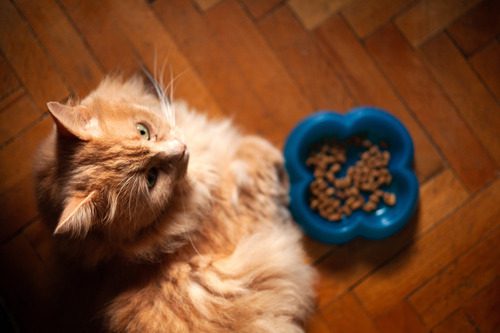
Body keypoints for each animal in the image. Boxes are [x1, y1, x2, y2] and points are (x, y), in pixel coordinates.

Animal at [34, 76, 316, 332]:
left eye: (143, 131)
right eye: (151, 179)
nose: (180, 149)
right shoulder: (245, 205)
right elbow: (256, 154)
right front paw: (280, 169)